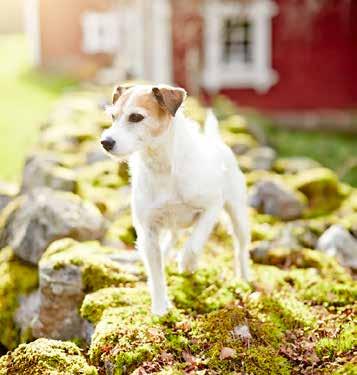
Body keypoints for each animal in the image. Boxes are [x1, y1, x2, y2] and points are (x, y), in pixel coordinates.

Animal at [100, 83, 250, 316]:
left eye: (136, 117)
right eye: (113, 116)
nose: (105, 142)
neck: (163, 168)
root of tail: (215, 142)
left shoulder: (211, 208)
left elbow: (194, 245)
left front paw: (188, 264)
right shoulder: (148, 232)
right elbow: (156, 274)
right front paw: (160, 308)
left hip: (237, 216)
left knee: (240, 248)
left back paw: (243, 276)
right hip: (169, 224)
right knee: (171, 240)